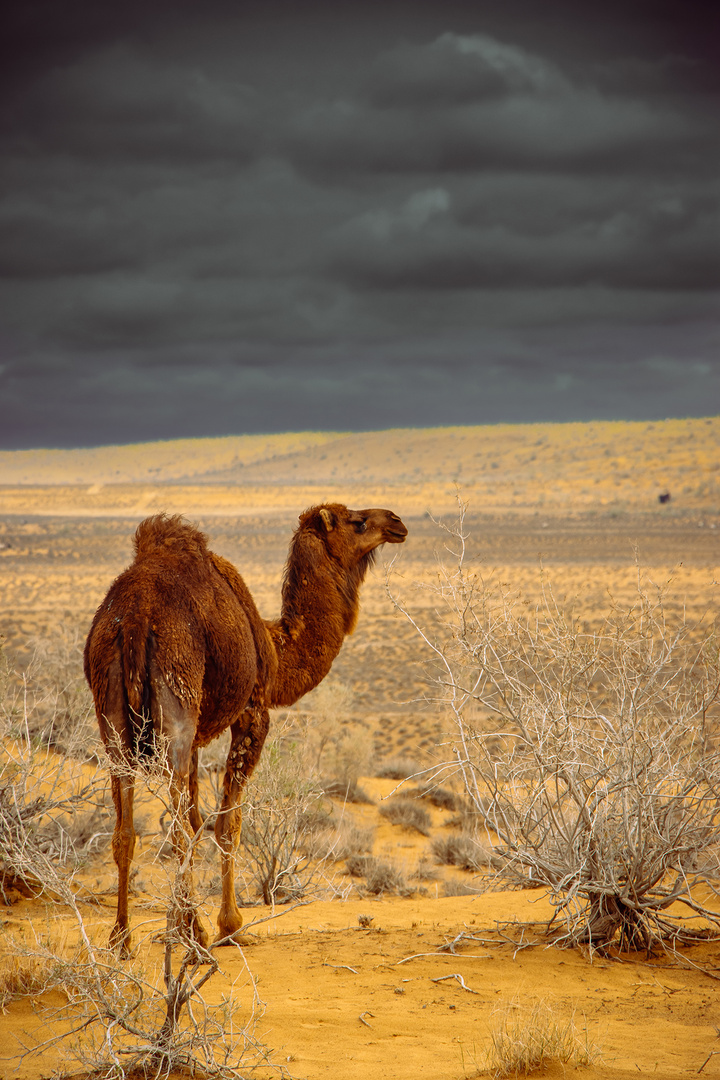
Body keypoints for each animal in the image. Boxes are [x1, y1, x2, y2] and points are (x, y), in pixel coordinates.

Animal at [82, 501, 408, 950]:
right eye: (357, 522)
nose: (396, 521)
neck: (275, 647)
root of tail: (134, 621)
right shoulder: (253, 712)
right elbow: (226, 825)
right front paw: (230, 924)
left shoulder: (198, 739)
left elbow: (198, 820)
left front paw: (188, 924)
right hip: (176, 704)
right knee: (176, 829)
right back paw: (194, 935)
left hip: (111, 714)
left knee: (127, 830)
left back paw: (122, 938)